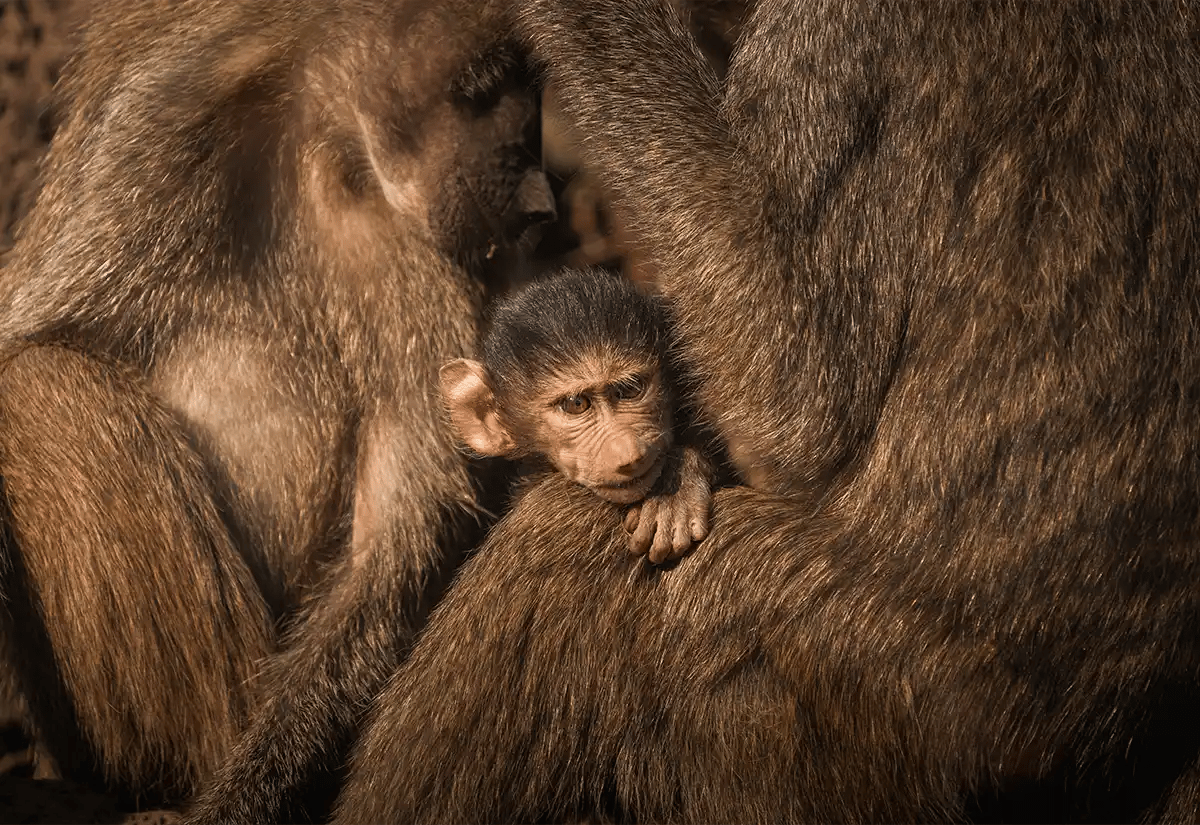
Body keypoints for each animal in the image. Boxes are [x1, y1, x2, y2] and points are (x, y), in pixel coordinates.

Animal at [0, 0, 554, 820]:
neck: (325, 145)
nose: (545, 207)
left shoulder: (428, 258)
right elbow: (24, 337)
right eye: (505, 117)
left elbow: (388, 543)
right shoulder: (147, 143)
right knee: (42, 387)